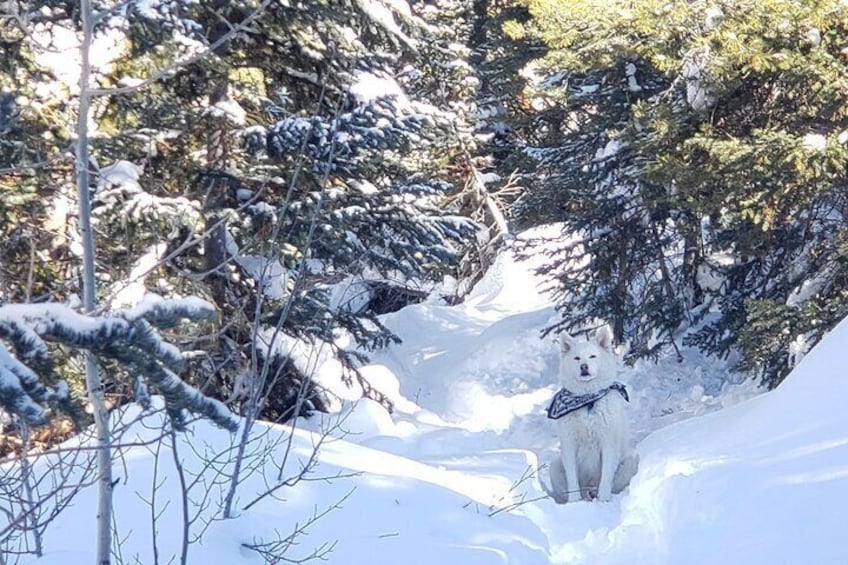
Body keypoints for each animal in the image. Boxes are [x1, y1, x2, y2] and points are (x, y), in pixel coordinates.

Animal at [548, 326, 636, 502]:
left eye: (592, 356)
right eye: (576, 358)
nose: (584, 367)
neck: (587, 399)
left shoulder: (608, 442)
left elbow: (606, 476)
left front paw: (604, 500)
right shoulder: (569, 444)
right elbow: (572, 478)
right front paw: (574, 502)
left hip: (628, 463)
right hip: (554, 467)